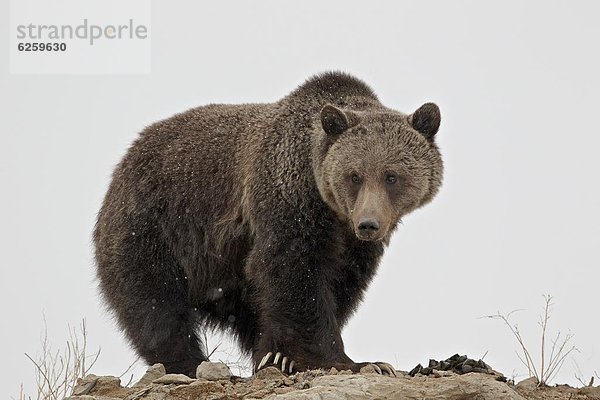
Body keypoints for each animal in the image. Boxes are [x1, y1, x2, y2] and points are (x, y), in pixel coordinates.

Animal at [92, 71, 440, 376]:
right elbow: (294, 273)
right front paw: (348, 361)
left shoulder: (352, 244)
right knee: (155, 304)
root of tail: (122, 164)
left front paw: (280, 356)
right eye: (354, 175)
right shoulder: (287, 201)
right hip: (155, 224)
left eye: (391, 176)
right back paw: (188, 363)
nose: (368, 224)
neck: (332, 212)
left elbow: (341, 283)